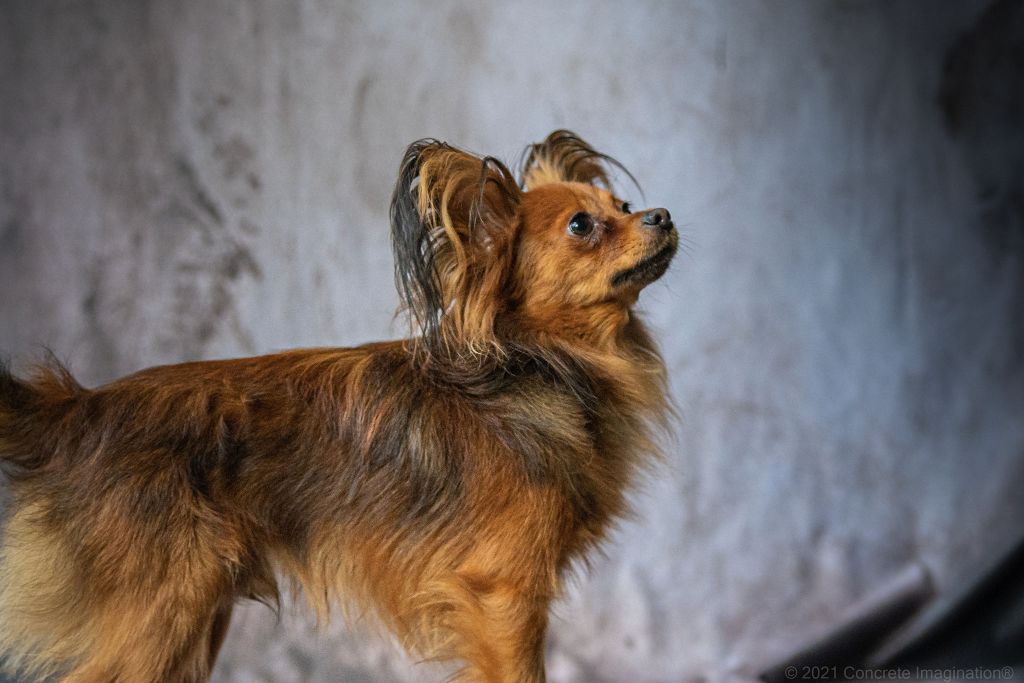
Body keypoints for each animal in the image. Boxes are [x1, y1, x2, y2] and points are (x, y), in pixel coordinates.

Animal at [0, 130, 676, 682]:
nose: (663, 214)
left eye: (622, 207)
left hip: (195, 617)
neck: (541, 360)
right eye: (582, 226)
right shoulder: (503, 598)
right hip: (165, 612)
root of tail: (80, 409)